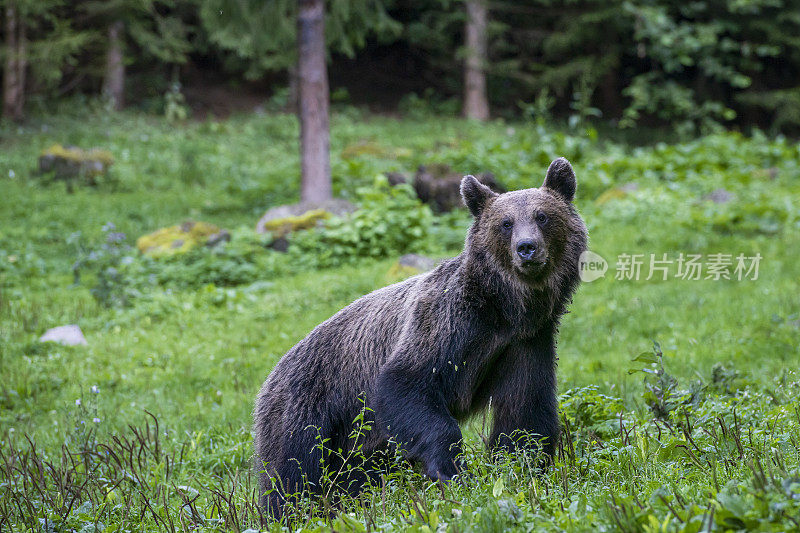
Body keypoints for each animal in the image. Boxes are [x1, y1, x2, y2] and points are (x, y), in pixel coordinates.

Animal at [256, 157, 588, 516]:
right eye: (505, 223)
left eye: (542, 216)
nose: (527, 248)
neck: (503, 310)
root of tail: (271, 374)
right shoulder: (447, 326)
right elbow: (408, 385)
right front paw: (450, 471)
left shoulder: (524, 344)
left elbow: (524, 413)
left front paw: (521, 469)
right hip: (309, 409)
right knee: (294, 472)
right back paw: (291, 512)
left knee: (353, 476)